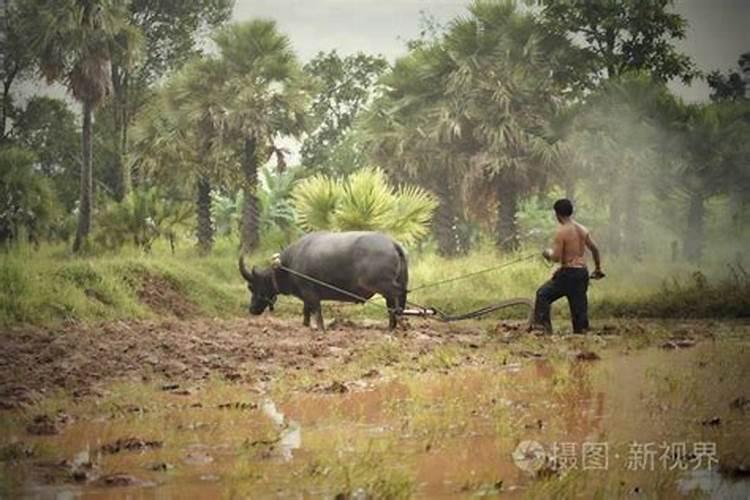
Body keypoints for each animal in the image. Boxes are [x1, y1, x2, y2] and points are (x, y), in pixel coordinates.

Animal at [238, 231, 408, 332]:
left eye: (252, 286)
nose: (251, 309)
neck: (288, 265)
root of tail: (392, 244)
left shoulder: (311, 294)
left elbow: (317, 312)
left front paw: (320, 329)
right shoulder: (306, 296)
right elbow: (306, 311)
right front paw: (305, 325)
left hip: (384, 285)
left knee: (396, 301)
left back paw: (398, 324)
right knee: (394, 304)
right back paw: (392, 326)